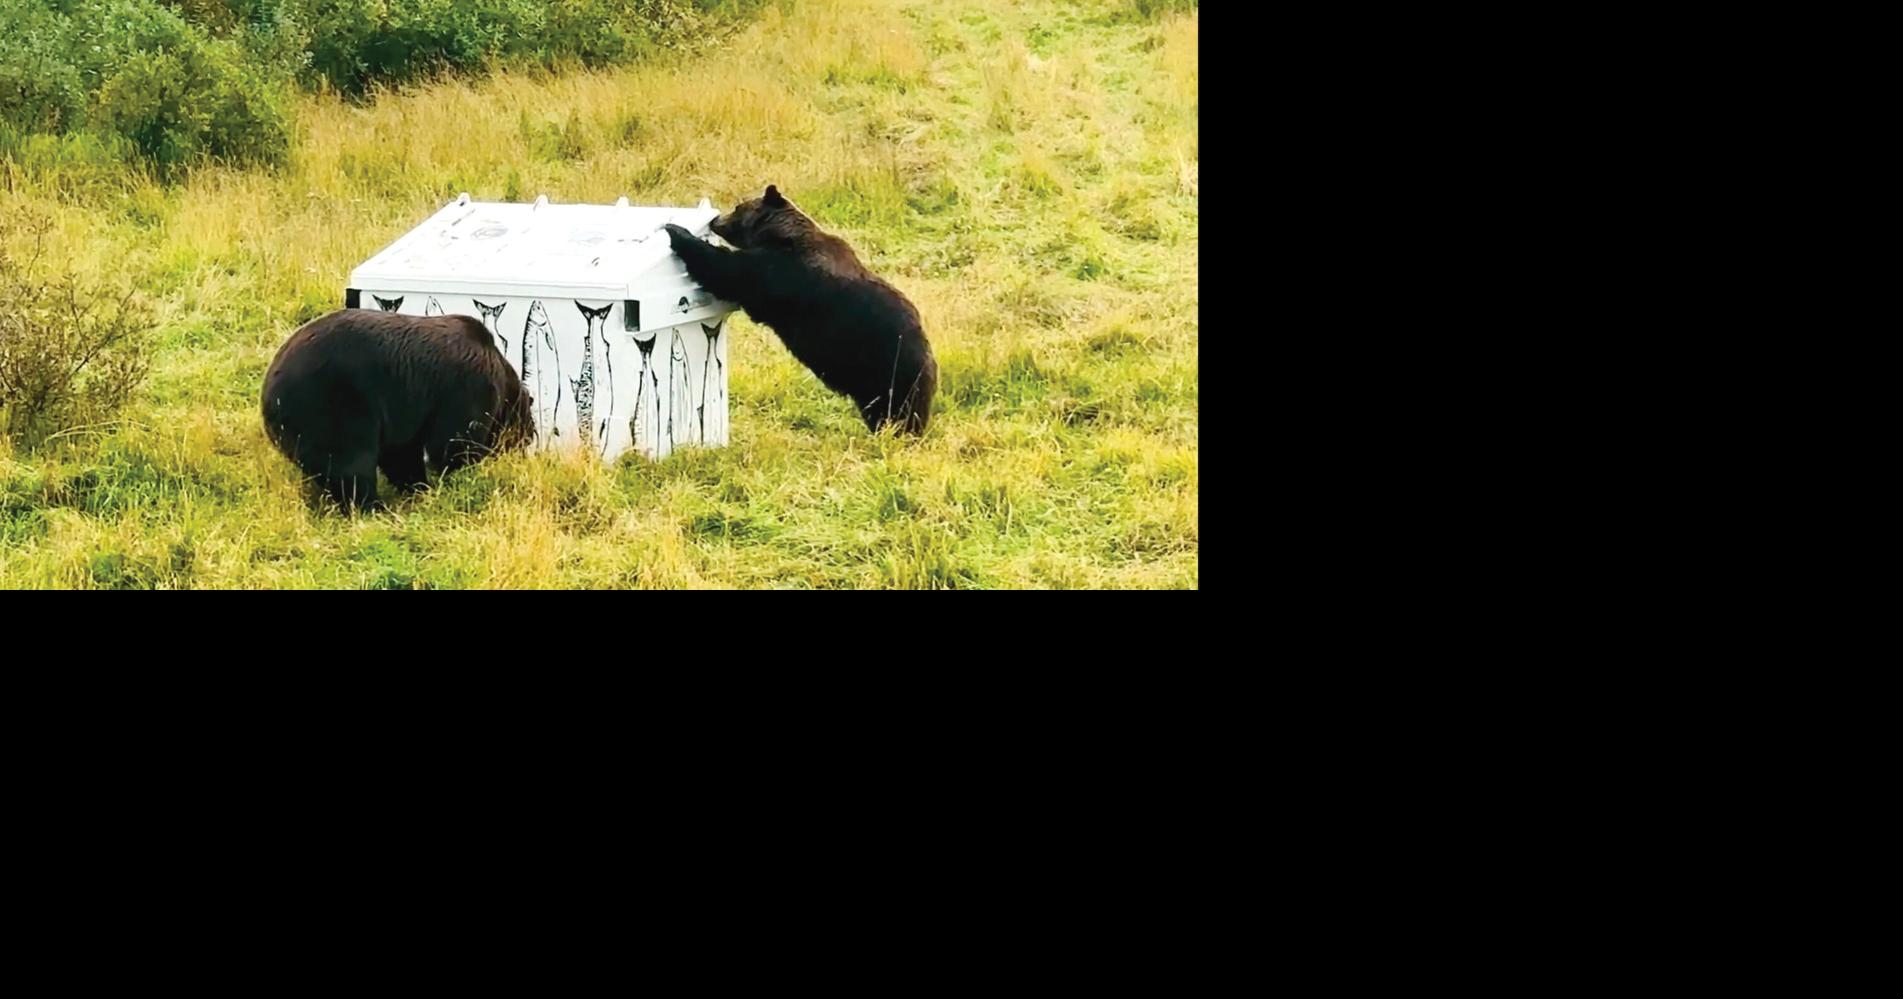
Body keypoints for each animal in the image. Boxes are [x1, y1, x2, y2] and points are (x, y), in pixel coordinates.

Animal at [261, 308, 534, 511]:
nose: (528, 439)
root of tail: (269, 394)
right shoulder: (466, 387)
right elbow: (453, 442)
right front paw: (459, 477)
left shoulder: (402, 410)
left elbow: (401, 453)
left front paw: (418, 487)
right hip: (331, 405)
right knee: (349, 463)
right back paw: (372, 506)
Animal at [663, 185, 938, 436]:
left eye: (739, 207)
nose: (716, 221)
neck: (780, 235)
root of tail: (930, 359)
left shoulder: (778, 273)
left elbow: (725, 270)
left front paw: (676, 231)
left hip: (888, 371)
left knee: (898, 413)